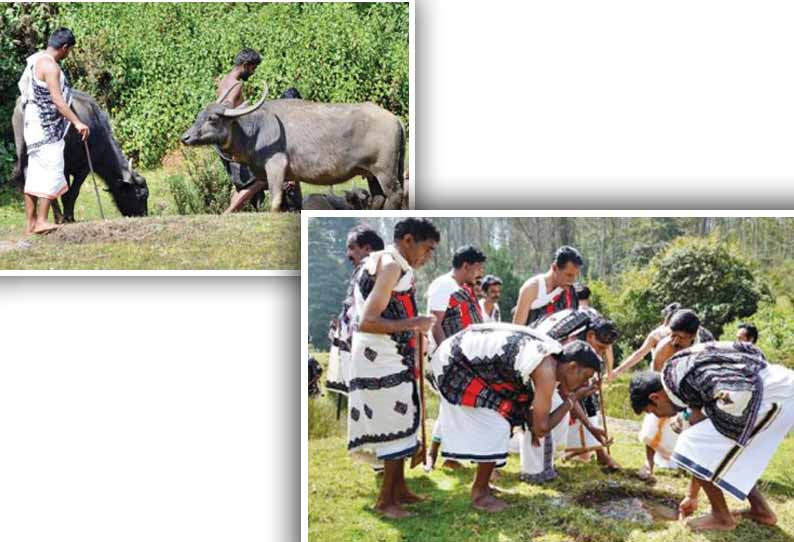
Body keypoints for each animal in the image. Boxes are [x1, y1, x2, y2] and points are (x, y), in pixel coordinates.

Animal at [11, 91, 148, 223]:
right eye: (141, 195)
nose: (143, 214)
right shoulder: (84, 166)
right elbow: (72, 192)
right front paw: (69, 217)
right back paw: (59, 218)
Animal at [183, 84, 406, 210]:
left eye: (212, 119)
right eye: (199, 115)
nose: (185, 137)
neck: (256, 130)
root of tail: (395, 120)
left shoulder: (275, 166)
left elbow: (274, 201)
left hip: (385, 170)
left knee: (395, 194)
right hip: (372, 174)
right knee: (378, 198)